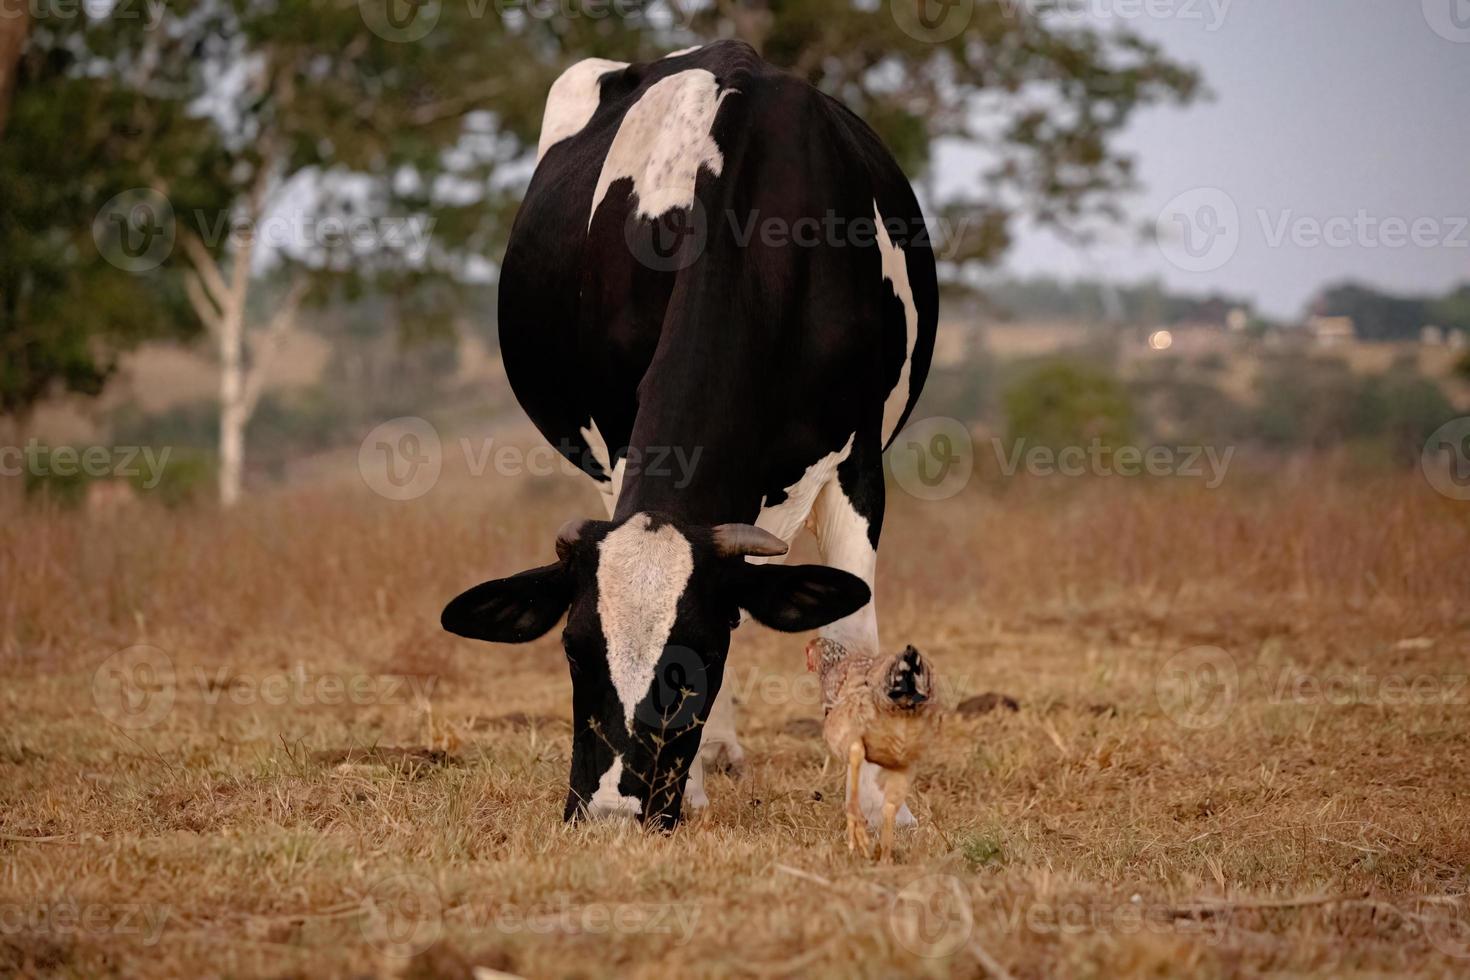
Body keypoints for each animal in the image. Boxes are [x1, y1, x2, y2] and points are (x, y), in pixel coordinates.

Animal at [441, 42, 934, 834]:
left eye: (697, 653)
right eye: (574, 649)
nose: (611, 811)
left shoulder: (859, 463)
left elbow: (847, 638)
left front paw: (881, 805)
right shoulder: (619, 443)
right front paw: (695, 786)